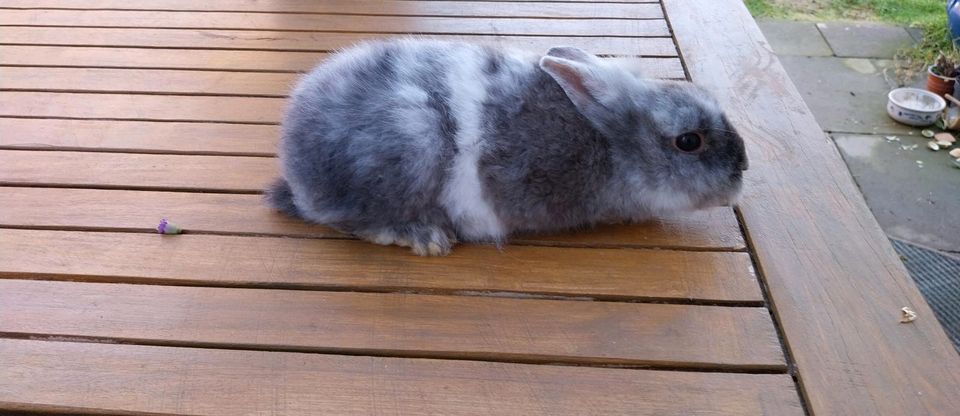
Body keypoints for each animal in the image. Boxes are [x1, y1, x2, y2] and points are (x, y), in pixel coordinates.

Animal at [264, 37, 752, 255]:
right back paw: (426, 237)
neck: (611, 143)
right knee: (355, 221)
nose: (743, 167)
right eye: (689, 141)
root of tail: (297, 170)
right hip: (412, 135)